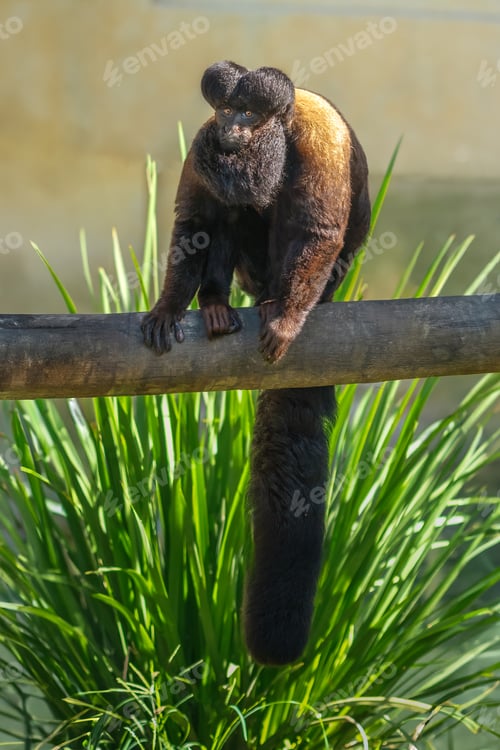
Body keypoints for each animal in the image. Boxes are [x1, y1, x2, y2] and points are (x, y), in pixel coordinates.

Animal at [142, 61, 371, 665]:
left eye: (247, 112)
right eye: (225, 111)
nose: (232, 127)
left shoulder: (319, 139)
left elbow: (316, 229)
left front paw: (287, 319)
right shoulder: (204, 140)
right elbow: (195, 220)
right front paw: (170, 304)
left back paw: (278, 302)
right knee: (227, 214)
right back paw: (215, 303)